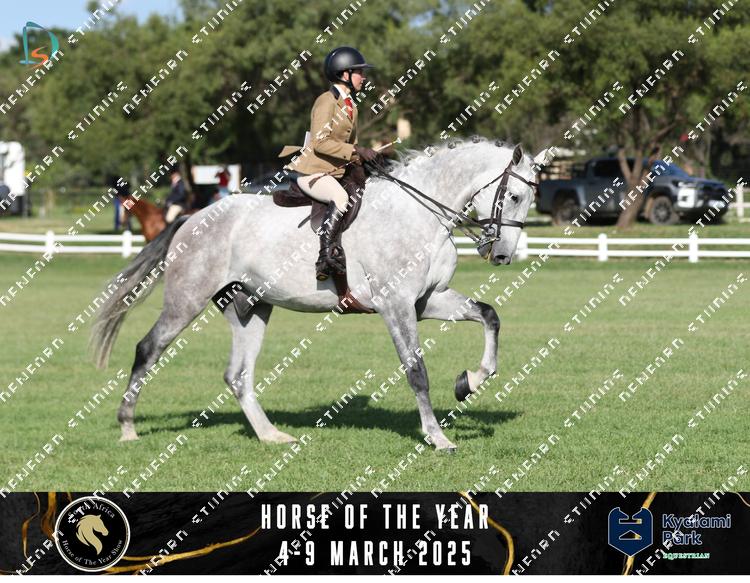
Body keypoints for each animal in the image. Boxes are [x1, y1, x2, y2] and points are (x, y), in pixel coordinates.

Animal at [91, 138, 552, 452]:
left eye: (531, 199)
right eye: (513, 195)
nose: (503, 255)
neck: (420, 214)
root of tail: (193, 217)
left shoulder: (427, 301)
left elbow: (489, 315)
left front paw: (469, 381)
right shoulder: (396, 306)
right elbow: (416, 371)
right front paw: (437, 437)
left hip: (251, 307)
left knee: (238, 374)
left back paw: (271, 435)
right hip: (186, 300)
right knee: (148, 349)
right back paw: (128, 427)